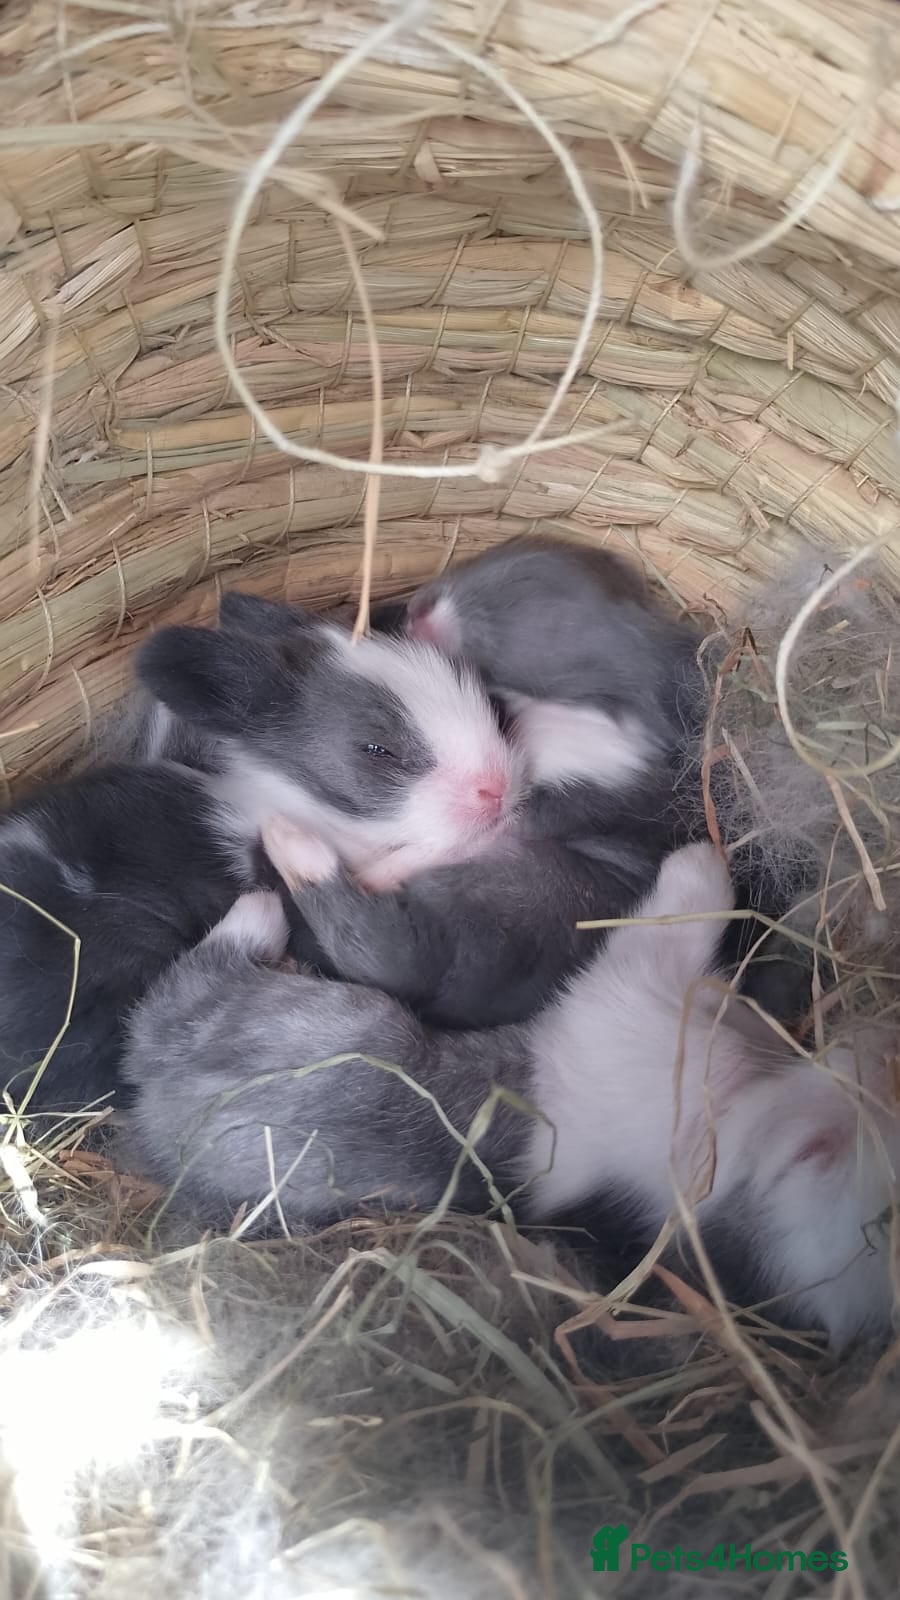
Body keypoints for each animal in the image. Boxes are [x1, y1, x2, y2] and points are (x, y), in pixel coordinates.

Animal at [121, 840, 900, 1349]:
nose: (872, 1048)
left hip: (269, 1013)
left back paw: (267, 890)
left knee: (191, 979)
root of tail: (152, 1112)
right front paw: (704, 854)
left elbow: (671, 920)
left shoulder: (622, 998)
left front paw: (696, 857)